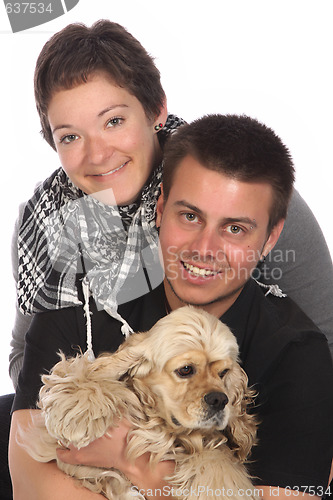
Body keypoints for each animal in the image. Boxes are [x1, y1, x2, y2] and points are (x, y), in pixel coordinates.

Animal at [19, 306, 258, 498]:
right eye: (186, 369)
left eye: (224, 373)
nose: (220, 399)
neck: (159, 426)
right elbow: (83, 373)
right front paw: (81, 412)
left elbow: (217, 460)